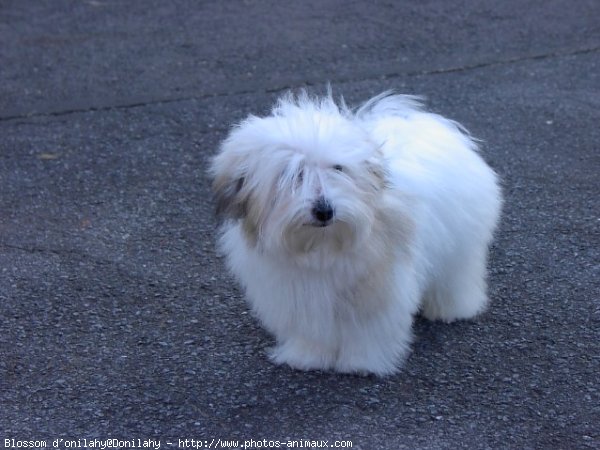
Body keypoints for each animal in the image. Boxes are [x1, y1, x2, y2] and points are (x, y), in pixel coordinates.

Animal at [211, 91, 502, 376]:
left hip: (460, 244)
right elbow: (311, 330)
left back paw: (451, 309)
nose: (324, 210)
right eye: (293, 174)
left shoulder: (380, 286)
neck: (322, 247)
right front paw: (308, 356)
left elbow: (369, 329)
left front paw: (363, 362)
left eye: (337, 168)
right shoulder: (298, 292)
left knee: (456, 276)